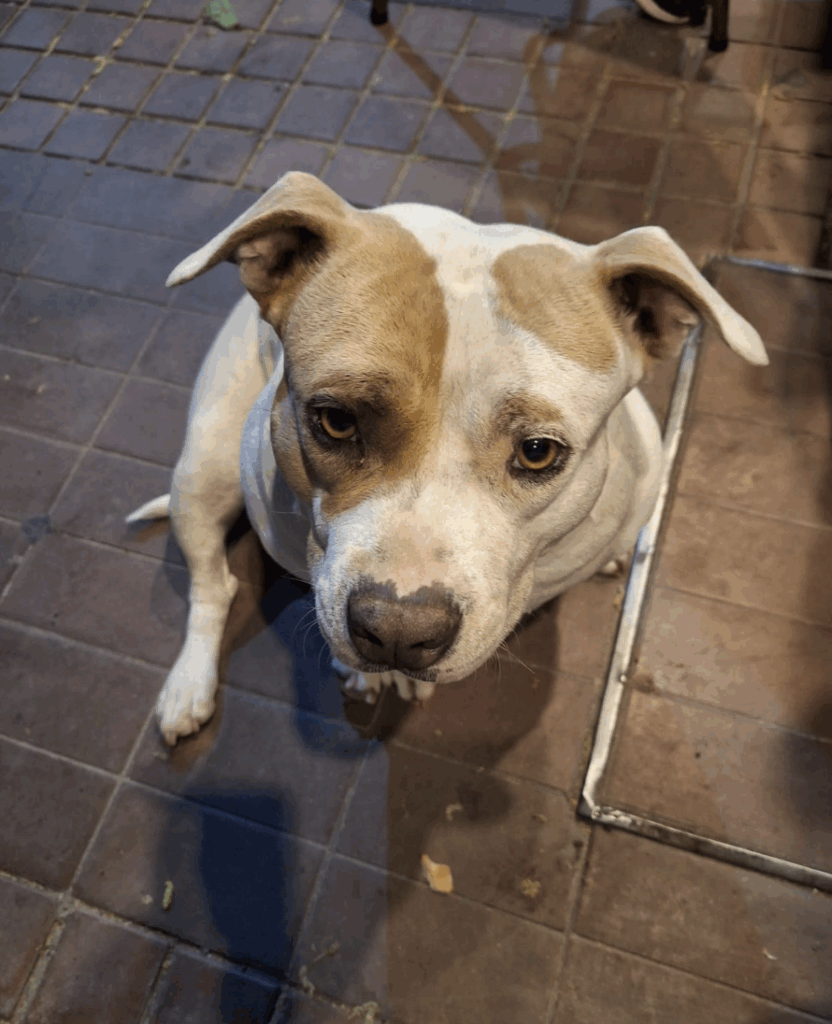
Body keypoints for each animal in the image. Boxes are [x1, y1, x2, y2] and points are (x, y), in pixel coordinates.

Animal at [127, 171, 767, 746]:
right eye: (336, 421)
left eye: (538, 452)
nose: (397, 633)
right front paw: (361, 672)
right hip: (202, 472)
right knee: (214, 586)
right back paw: (188, 689)